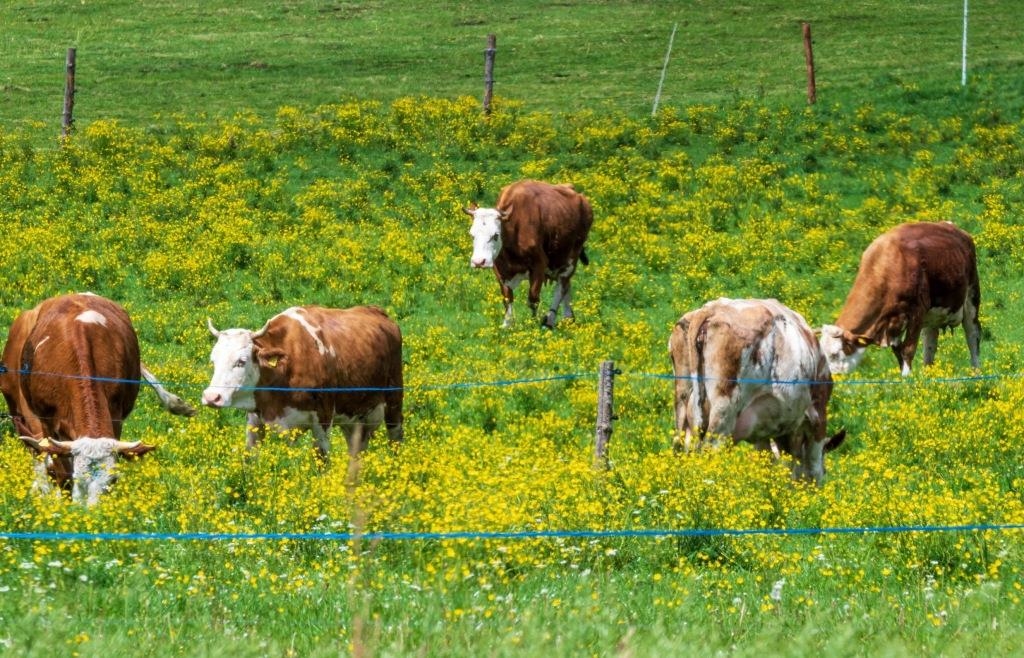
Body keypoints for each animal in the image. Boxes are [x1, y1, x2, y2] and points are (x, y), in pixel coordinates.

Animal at [0, 293, 195, 505]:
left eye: (113, 479)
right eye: (77, 477)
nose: (92, 512)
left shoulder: (116, 416)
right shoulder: (47, 422)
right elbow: (58, 466)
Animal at [202, 305, 404, 459]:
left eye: (241, 361)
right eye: (213, 361)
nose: (211, 397)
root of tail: (377, 311)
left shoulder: (323, 418)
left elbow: (321, 460)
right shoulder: (254, 420)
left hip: (394, 401)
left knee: (395, 437)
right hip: (355, 418)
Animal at [463, 179, 593, 328]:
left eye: (495, 235)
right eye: (472, 235)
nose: (478, 262)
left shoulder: (539, 264)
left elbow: (533, 299)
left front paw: (533, 324)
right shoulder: (499, 268)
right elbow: (507, 297)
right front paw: (507, 324)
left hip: (571, 256)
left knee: (561, 286)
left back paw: (549, 320)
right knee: (566, 286)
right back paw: (568, 318)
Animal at [669, 298, 846, 484]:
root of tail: (711, 310)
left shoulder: (762, 429)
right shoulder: (818, 416)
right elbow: (812, 464)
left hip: (683, 407)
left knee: (680, 446)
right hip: (724, 413)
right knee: (711, 451)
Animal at [820, 221, 981, 377]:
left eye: (834, 354)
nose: (832, 378)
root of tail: (956, 229)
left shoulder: (917, 312)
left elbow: (908, 349)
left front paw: (907, 378)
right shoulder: (893, 322)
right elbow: (899, 352)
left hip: (972, 297)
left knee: (973, 334)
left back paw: (975, 372)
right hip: (932, 314)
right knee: (930, 341)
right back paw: (928, 374)